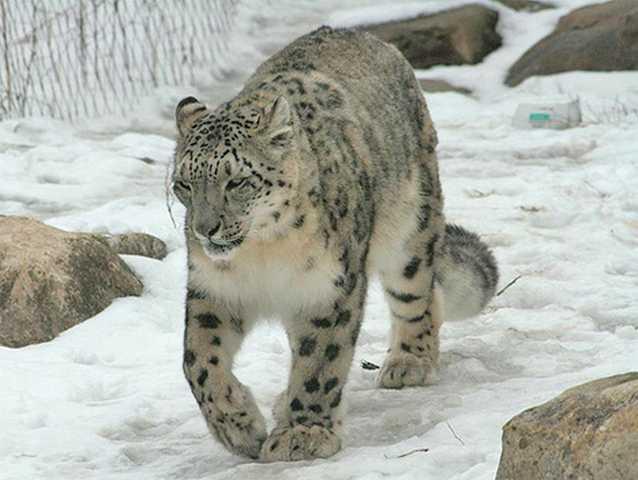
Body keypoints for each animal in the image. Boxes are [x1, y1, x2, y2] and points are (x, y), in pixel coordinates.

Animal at [174, 25, 500, 462]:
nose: (205, 229)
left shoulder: (329, 288)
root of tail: (359, 32)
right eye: (183, 184)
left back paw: (410, 361)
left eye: (237, 181)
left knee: (419, 293)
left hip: (410, 228)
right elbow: (198, 361)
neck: (263, 252)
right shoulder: (214, 289)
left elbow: (320, 361)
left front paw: (303, 433)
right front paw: (239, 427)